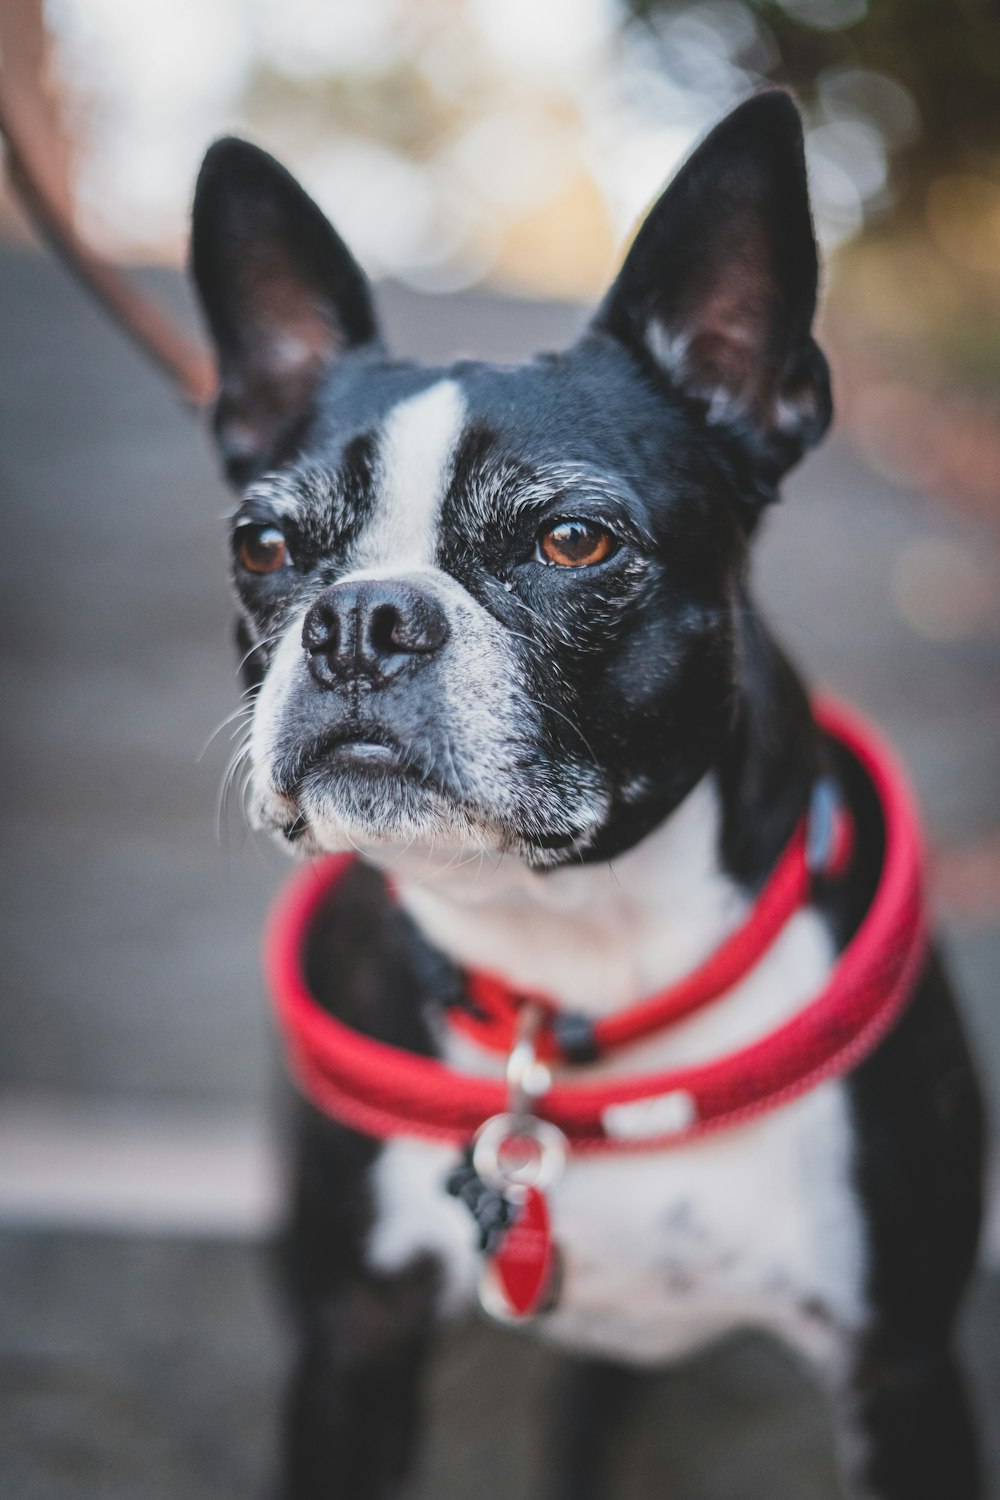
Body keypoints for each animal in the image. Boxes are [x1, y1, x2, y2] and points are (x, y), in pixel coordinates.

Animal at [189, 93, 983, 1500]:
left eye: (572, 541)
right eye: (264, 545)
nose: (360, 621)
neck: (573, 965)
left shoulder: (901, 1366)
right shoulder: (351, 1341)